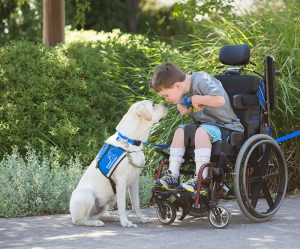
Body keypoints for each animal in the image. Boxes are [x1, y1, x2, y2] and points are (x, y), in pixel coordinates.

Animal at [70, 99, 169, 228]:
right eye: (153, 105)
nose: (166, 104)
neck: (131, 141)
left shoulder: (135, 180)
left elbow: (136, 203)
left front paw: (142, 219)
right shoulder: (122, 181)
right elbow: (122, 205)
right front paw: (126, 222)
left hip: (110, 200)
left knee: (98, 214)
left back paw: (111, 217)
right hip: (87, 195)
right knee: (80, 220)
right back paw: (95, 223)